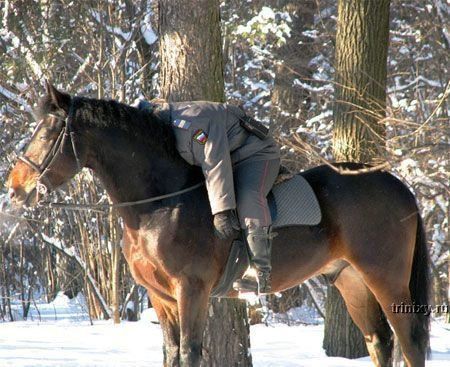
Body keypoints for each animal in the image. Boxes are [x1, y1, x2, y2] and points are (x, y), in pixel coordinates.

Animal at [7, 85, 428, 366]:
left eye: (47, 133)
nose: (15, 188)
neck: (159, 204)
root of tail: (397, 184)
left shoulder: (191, 290)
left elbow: (190, 353)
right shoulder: (161, 297)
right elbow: (172, 352)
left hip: (386, 278)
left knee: (408, 341)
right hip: (350, 279)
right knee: (380, 342)